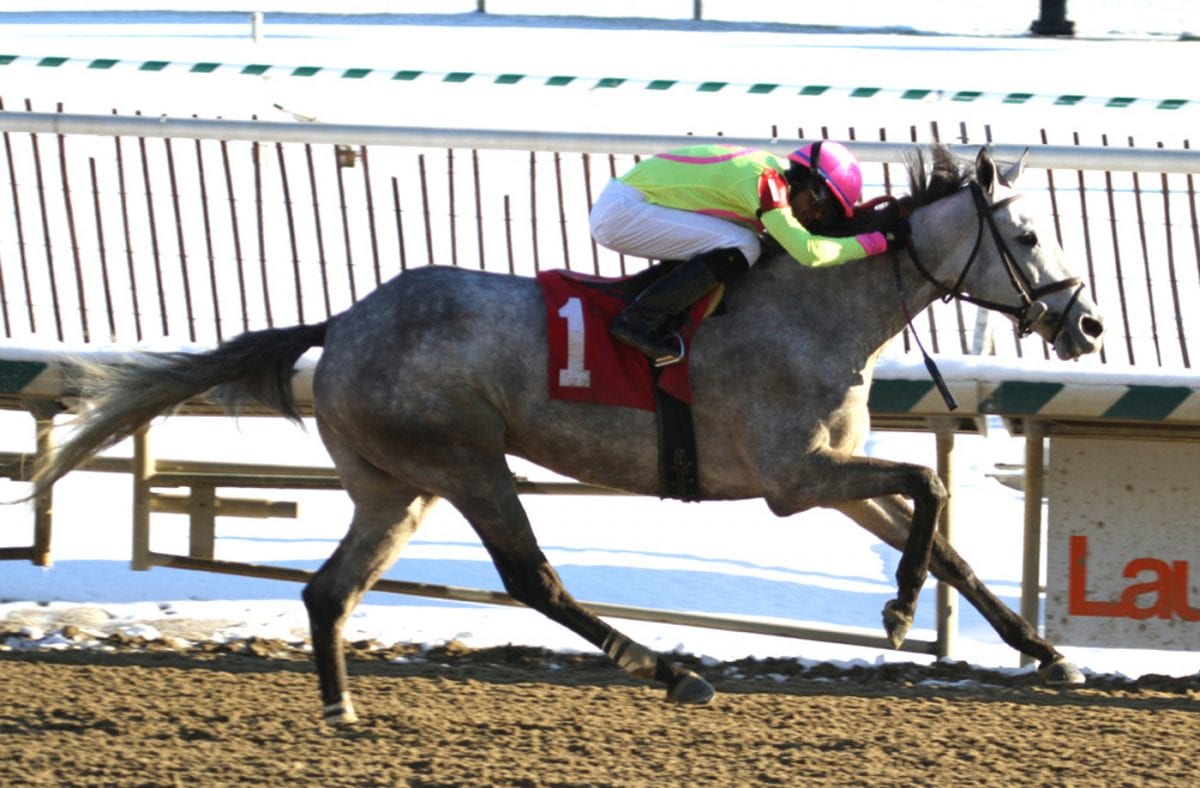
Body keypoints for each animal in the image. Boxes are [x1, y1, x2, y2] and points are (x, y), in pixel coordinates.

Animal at [25, 144, 1104, 724]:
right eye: (1028, 234)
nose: (1085, 323)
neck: (817, 306)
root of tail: (346, 320)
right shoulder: (795, 474)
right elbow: (929, 484)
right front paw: (897, 610)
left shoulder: (827, 468)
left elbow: (946, 533)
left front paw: (1045, 653)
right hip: (464, 459)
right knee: (531, 577)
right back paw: (674, 672)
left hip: (394, 482)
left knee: (330, 588)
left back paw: (342, 708)